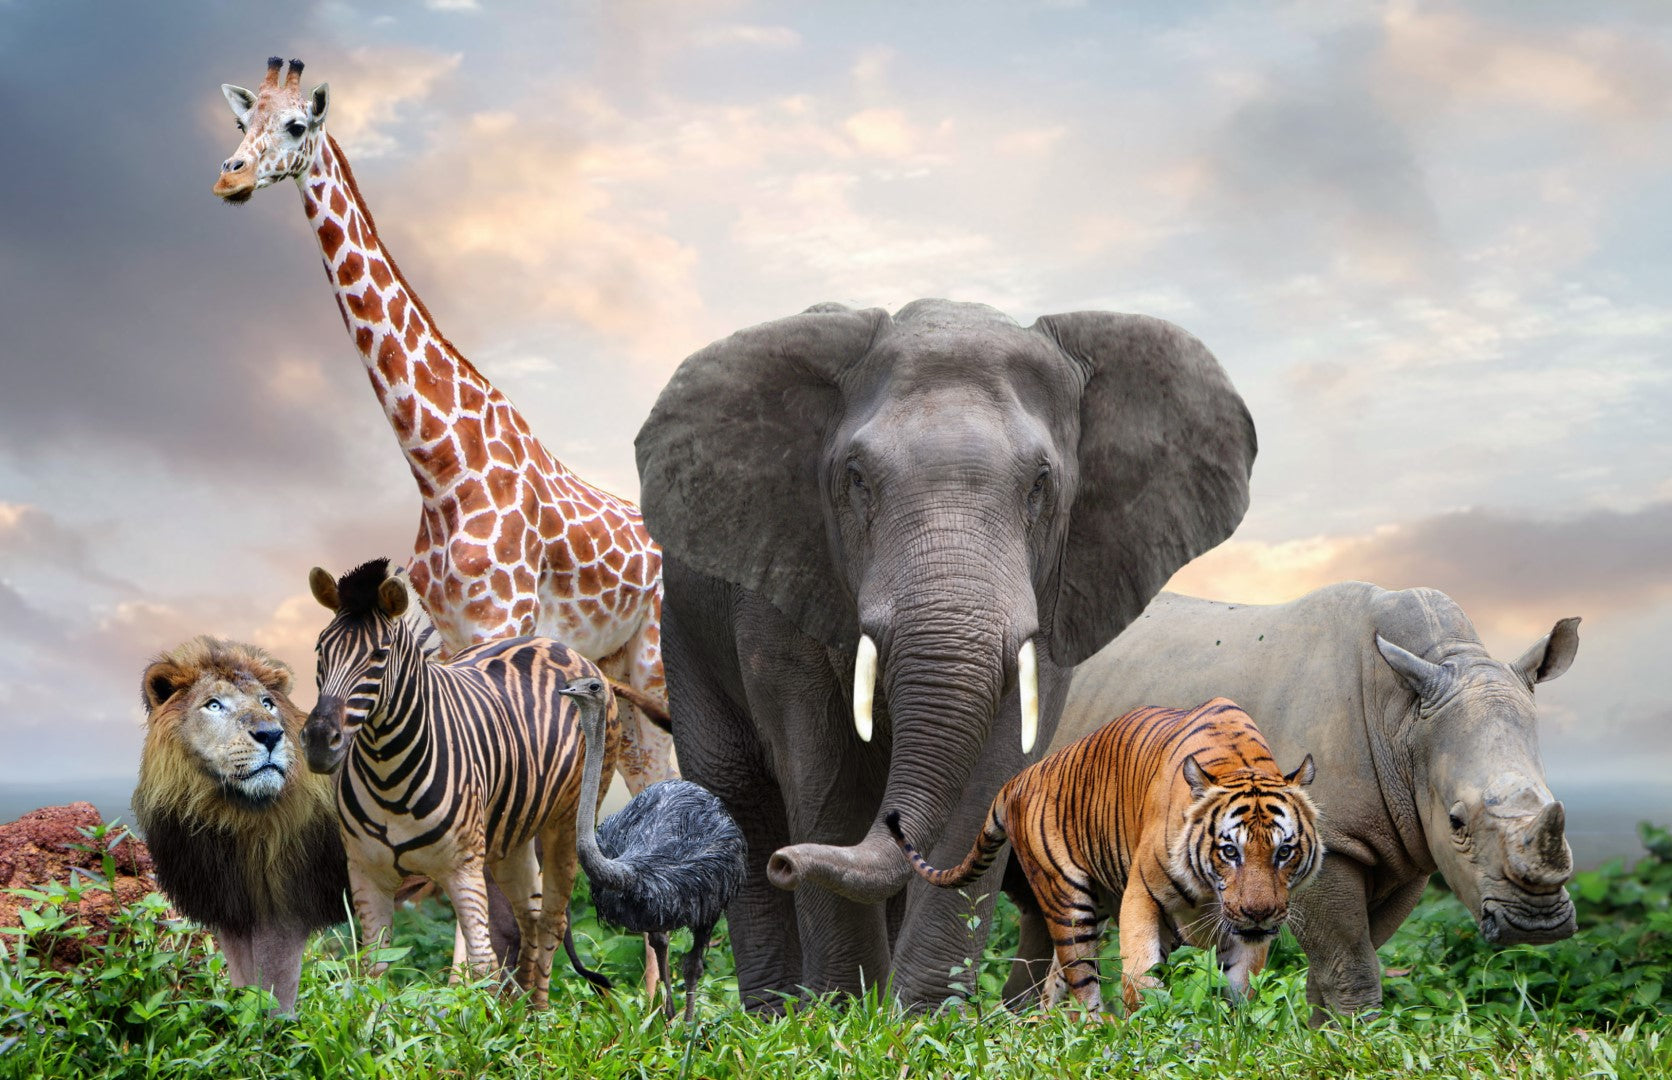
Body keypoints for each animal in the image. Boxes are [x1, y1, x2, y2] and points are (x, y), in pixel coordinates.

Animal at [300, 557, 621, 1007]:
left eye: (379, 656)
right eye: (320, 650)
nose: (317, 741)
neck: (387, 772)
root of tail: (553, 643)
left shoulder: (462, 869)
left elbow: (480, 965)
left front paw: (479, 1022)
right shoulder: (366, 872)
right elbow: (373, 972)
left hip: (567, 823)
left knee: (552, 921)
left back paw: (539, 1015)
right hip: (510, 836)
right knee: (529, 914)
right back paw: (520, 1012)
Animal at [633, 299, 1257, 1009]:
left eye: (1041, 484)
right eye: (855, 479)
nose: (788, 864)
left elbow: (991, 770)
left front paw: (919, 1015)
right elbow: (824, 774)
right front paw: (843, 1010)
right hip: (684, 631)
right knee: (739, 795)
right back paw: (774, 1009)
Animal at [887, 697, 1321, 1013]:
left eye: (1284, 852)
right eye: (1230, 851)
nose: (1259, 913)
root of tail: (1019, 777)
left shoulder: (1248, 934)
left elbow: (1242, 987)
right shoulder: (1142, 895)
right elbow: (1141, 976)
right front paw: (1150, 1027)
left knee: (1054, 986)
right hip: (1067, 901)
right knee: (1082, 982)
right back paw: (1098, 1031)